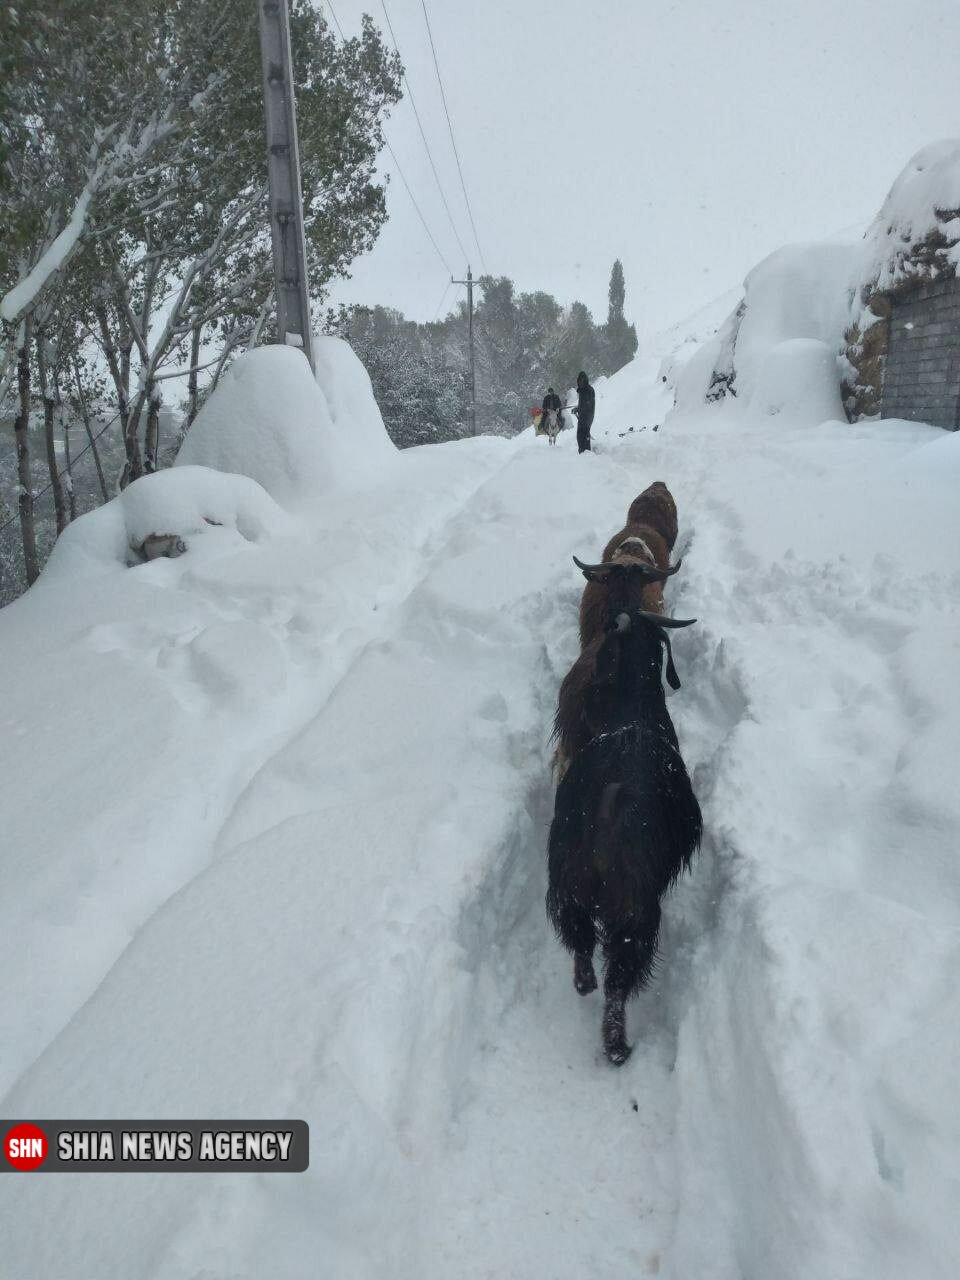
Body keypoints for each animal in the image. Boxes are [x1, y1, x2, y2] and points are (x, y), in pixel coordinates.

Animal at [545, 593, 701, 1064]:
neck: (631, 709)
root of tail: (605, 813)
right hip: (635, 912)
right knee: (617, 981)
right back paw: (617, 1046)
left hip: (566, 888)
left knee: (580, 945)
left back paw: (584, 983)